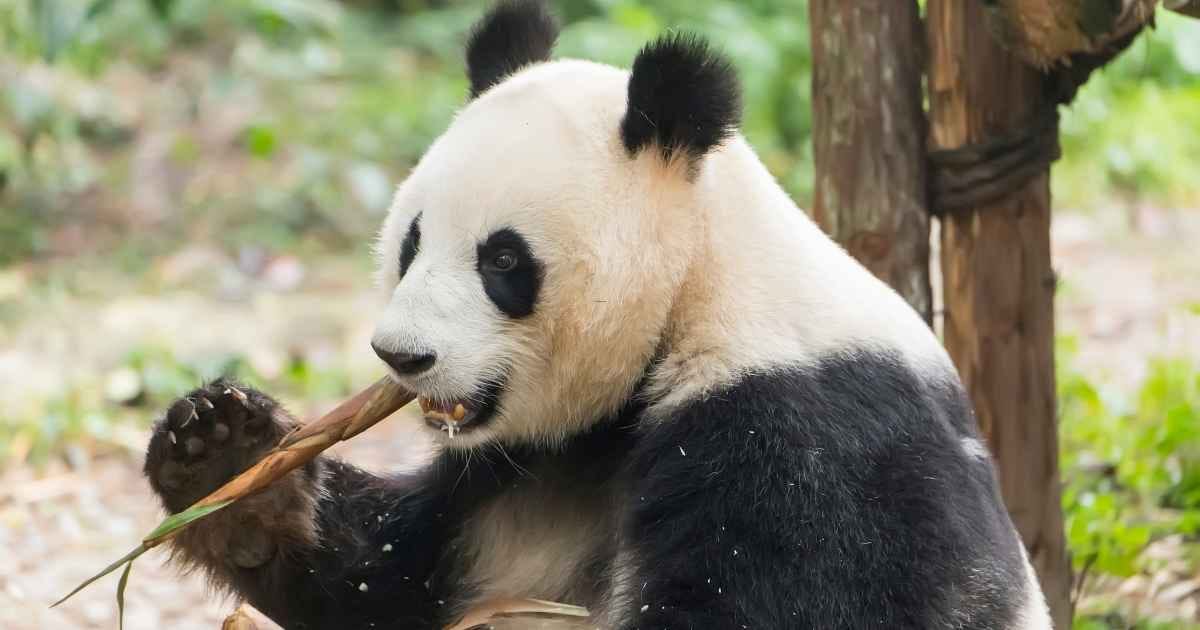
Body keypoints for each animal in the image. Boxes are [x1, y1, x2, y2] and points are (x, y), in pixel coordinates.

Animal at [143, 1, 1053, 628]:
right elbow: (388, 581)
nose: (402, 356)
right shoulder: (528, 468)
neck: (695, 287)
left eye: (503, 261)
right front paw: (224, 456)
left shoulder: (803, 433)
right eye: (411, 241)